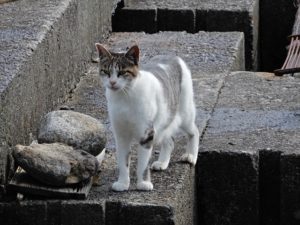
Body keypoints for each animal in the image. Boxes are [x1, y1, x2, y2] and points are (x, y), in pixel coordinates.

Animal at [95, 44, 199, 192]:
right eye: (106, 71)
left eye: (122, 72)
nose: (112, 82)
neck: (124, 97)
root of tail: (173, 56)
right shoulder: (121, 135)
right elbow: (123, 162)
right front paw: (123, 183)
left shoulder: (146, 134)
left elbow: (143, 164)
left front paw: (143, 183)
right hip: (165, 119)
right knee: (169, 141)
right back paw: (162, 162)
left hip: (185, 114)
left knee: (194, 131)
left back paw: (190, 156)